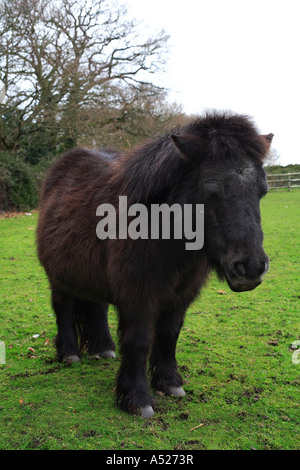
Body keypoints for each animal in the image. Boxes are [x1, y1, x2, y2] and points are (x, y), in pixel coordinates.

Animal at [36, 112, 274, 416]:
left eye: (262, 191)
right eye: (212, 188)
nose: (251, 267)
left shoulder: (180, 296)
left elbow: (169, 334)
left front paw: (169, 383)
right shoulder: (138, 296)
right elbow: (139, 340)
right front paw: (137, 398)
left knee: (96, 307)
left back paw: (103, 349)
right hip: (59, 278)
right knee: (63, 308)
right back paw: (69, 353)